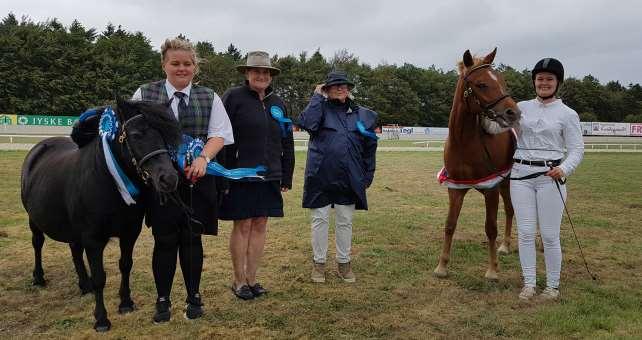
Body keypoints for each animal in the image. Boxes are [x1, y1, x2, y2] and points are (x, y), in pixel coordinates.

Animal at [20, 99, 180, 332]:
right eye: (136, 135)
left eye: (168, 134)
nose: (168, 179)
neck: (108, 181)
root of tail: (39, 147)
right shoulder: (93, 239)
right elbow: (99, 278)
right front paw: (102, 319)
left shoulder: (129, 233)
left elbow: (125, 265)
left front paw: (126, 303)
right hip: (34, 220)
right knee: (37, 243)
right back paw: (39, 278)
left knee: (75, 250)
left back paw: (83, 284)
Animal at [430, 48, 520, 282]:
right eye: (481, 84)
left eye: (502, 81)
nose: (514, 113)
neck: (465, 143)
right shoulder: (455, 188)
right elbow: (450, 225)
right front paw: (442, 266)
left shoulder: (491, 188)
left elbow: (491, 228)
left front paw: (492, 270)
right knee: (510, 209)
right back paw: (505, 246)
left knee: (514, 209)